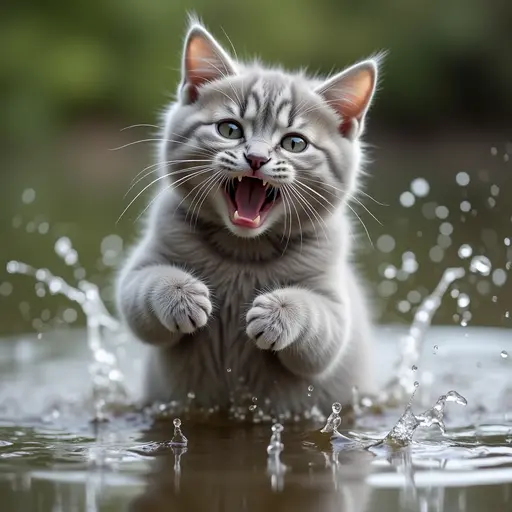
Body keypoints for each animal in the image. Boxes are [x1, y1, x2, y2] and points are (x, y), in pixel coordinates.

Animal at [115, 18, 380, 418]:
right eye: (230, 129)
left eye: (294, 143)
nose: (256, 158)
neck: (243, 250)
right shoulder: (144, 266)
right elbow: (143, 289)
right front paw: (184, 295)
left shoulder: (333, 305)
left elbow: (319, 328)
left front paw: (276, 313)